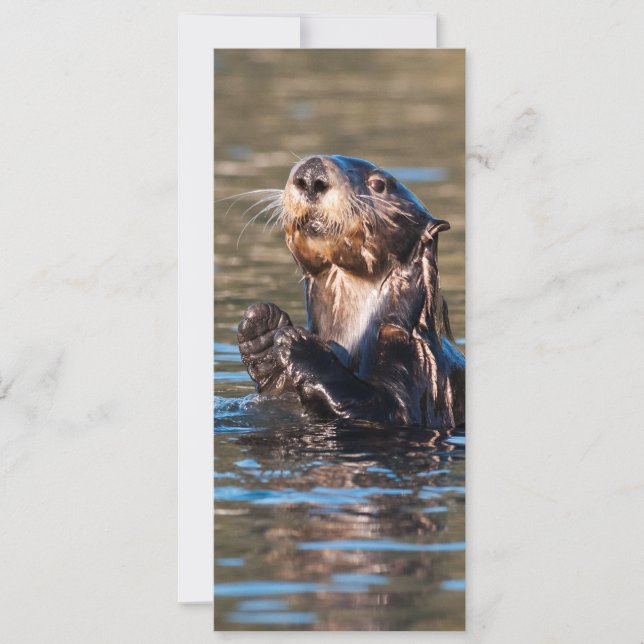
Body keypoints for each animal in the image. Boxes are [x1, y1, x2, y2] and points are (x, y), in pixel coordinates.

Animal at [236, 155, 465, 428]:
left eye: (378, 185)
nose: (311, 175)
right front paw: (263, 328)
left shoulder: (418, 363)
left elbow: (388, 409)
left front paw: (298, 343)